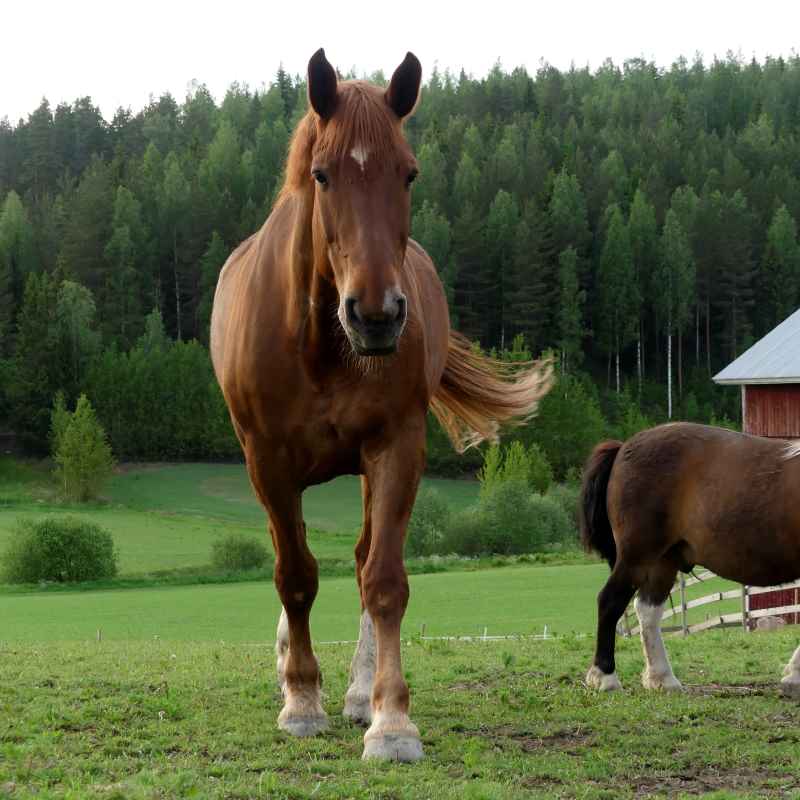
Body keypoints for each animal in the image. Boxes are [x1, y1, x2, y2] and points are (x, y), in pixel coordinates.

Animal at [209, 50, 552, 764]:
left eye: (408, 172)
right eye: (322, 174)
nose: (376, 314)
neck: (320, 345)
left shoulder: (396, 447)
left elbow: (384, 580)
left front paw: (390, 719)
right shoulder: (268, 463)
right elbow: (295, 574)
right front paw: (300, 701)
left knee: (366, 558)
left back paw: (358, 691)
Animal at [580, 422, 800, 696]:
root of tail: (623, 448)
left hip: (663, 560)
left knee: (647, 611)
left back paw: (662, 678)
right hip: (637, 555)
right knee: (610, 602)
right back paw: (605, 677)